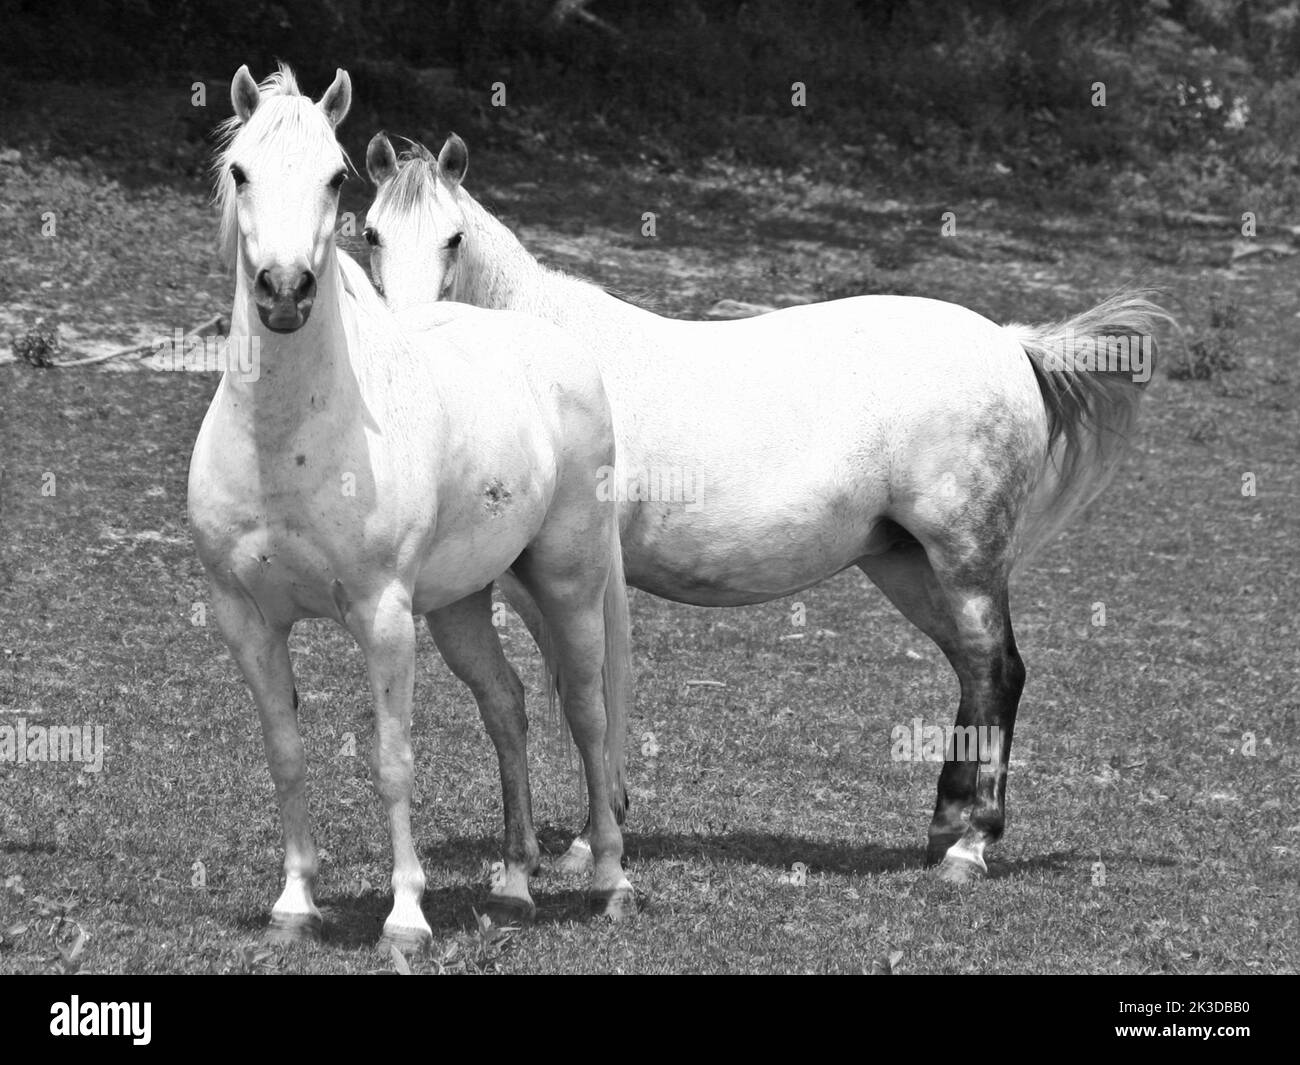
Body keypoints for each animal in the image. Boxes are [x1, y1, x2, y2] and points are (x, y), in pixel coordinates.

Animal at [187, 68, 636, 954]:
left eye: (335, 178)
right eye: (241, 172)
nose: (284, 292)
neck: (287, 440)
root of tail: (565, 356)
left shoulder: (383, 615)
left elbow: (393, 760)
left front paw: (405, 918)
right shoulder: (244, 617)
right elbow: (285, 752)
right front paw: (295, 904)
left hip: (566, 584)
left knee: (587, 710)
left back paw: (608, 877)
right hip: (462, 605)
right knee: (507, 706)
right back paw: (515, 884)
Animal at [362, 131, 1169, 884]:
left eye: (453, 237)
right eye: (369, 232)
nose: (408, 340)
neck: (548, 369)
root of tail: (1010, 342)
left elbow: (593, 689)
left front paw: (595, 840)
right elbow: (573, 687)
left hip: (967, 557)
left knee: (998, 670)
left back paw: (971, 846)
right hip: (907, 566)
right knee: (975, 670)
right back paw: (946, 827)